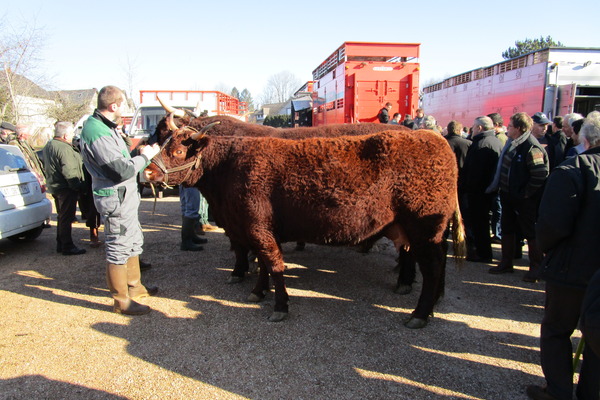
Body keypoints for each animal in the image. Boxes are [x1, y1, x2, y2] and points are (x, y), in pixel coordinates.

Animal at [144, 124, 464, 328]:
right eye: (164, 142)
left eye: (178, 151)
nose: (146, 171)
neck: (228, 167)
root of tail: (435, 139)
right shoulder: (256, 229)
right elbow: (263, 263)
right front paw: (258, 291)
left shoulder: (256, 227)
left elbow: (274, 265)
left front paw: (280, 306)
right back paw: (430, 306)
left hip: (425, 229)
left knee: (433, 268)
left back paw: (419, 314)